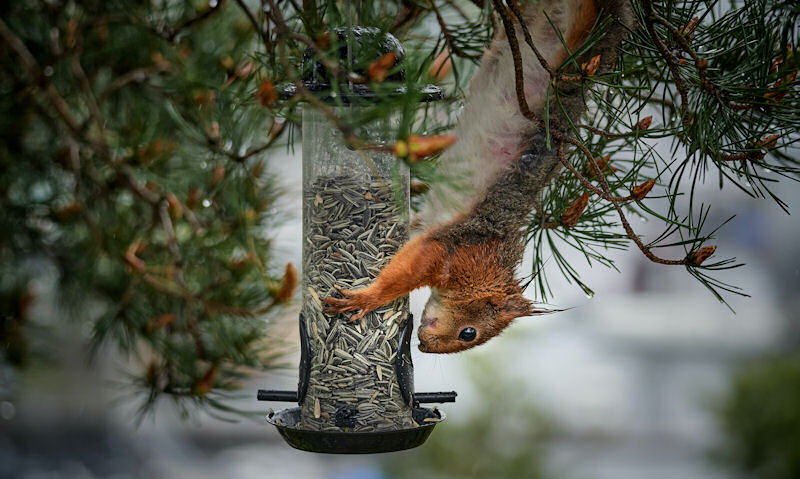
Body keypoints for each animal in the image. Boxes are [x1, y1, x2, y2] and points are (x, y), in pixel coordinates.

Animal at [324, 0, 632, 352]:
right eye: (469, 332)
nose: (424, 347)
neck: (489, 269)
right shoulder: (457, 252)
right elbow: (408, 269)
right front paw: (369, 297)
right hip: (580, 31)